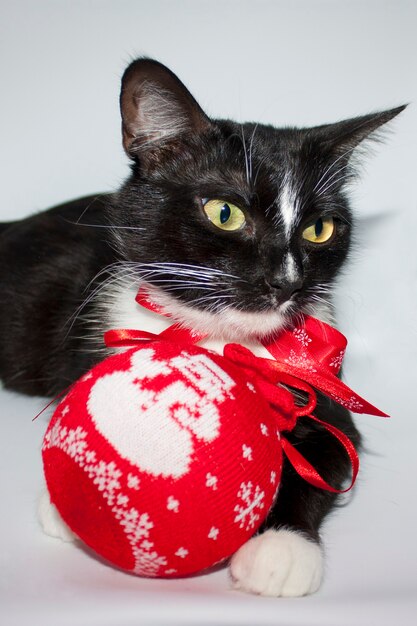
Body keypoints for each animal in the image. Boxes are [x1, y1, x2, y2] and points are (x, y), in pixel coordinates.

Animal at [0, 59, 404, 596]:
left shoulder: (325, 380)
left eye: (319, 229)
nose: (286, 281)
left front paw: (282, 548)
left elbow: (329, 456)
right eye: (224, 212)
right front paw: (65, 508)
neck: (222, 341)